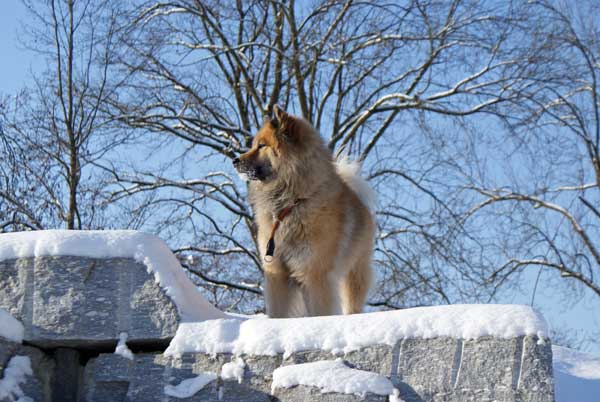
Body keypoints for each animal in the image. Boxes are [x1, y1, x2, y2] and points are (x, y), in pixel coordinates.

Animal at [234, 106, 376, 318]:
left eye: (261, 146)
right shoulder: (277, 272)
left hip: (354, 271)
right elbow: (277, 312)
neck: (292, 203)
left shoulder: (315, 274)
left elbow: (320, 312)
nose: (234, 160)